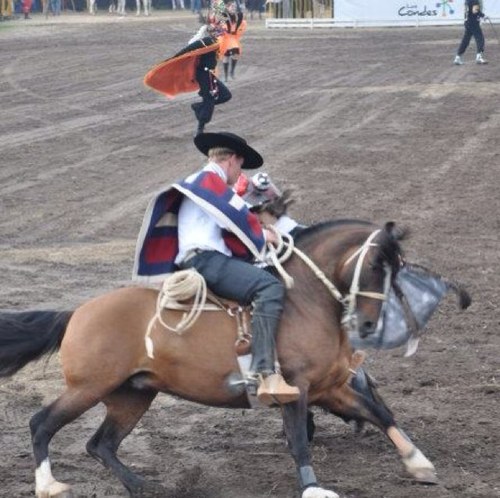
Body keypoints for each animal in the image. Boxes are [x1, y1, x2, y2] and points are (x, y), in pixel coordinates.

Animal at [0, 222, 440, 498]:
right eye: (374, 264)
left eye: (397, 267)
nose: (367, 323)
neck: (305, 303)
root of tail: (77, 312)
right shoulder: (296, 390)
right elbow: (300, 441)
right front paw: (313, 487)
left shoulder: (330, 389)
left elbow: (379, 413)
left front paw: (419, 463)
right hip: (89, 388)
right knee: (42, 424)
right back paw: (49, 486)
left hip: (132, 395)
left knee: (101, 444)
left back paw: (144, 487)